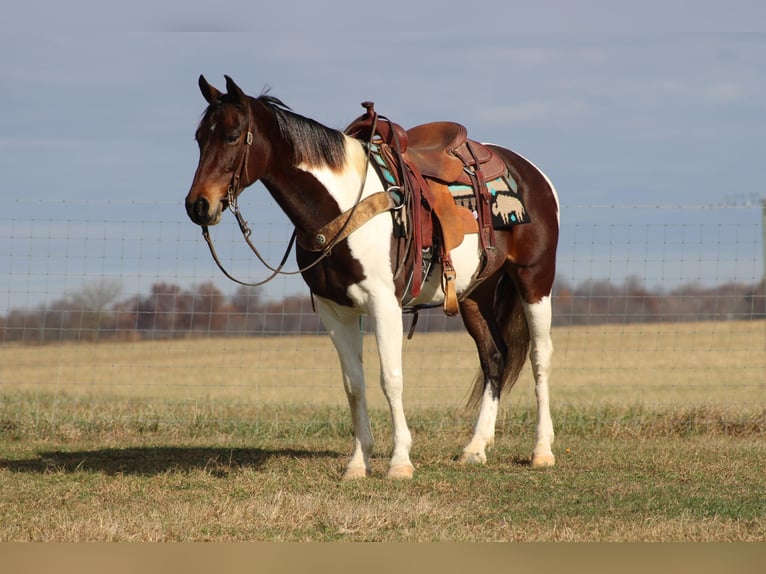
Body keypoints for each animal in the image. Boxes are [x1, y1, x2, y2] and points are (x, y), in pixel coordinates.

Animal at [184, 76, 560, 482]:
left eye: (232, 136)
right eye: (198, 138)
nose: (198, 206)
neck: (340, 205)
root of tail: (532, 172)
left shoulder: (384, 304)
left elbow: (390, 379)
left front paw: (400, 462)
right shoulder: (335, 311)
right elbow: (354, 385)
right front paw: (357, 463)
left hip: (535, 281)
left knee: (540, 357)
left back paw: (542, 450)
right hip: (475, 294)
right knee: (494, 357)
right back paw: (475, 448)